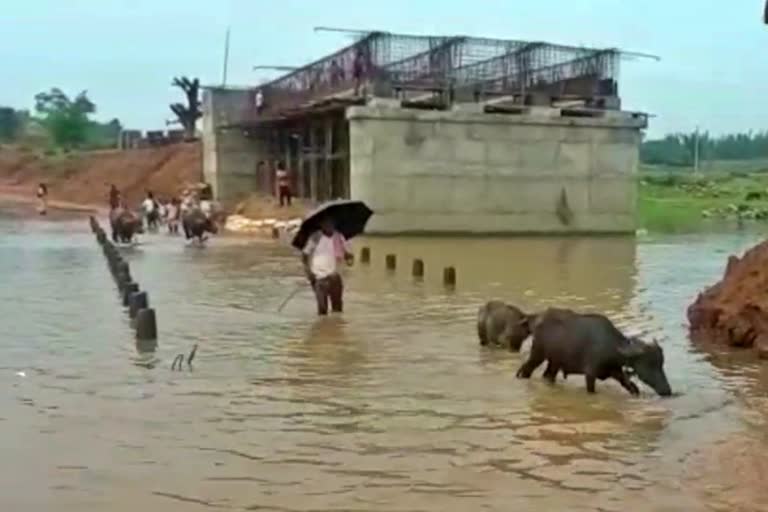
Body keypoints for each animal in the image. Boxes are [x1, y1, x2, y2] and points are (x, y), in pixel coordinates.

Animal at [516, 306, 672, 398]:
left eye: (661, 364)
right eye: (649, 364)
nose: (667, 390)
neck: (612, 348)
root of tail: (535, 318)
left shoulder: (617, 372)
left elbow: (632, 387)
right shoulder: (590, 374)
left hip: (554, 362)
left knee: (547, 376)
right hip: (538, 354)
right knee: (525, 370)